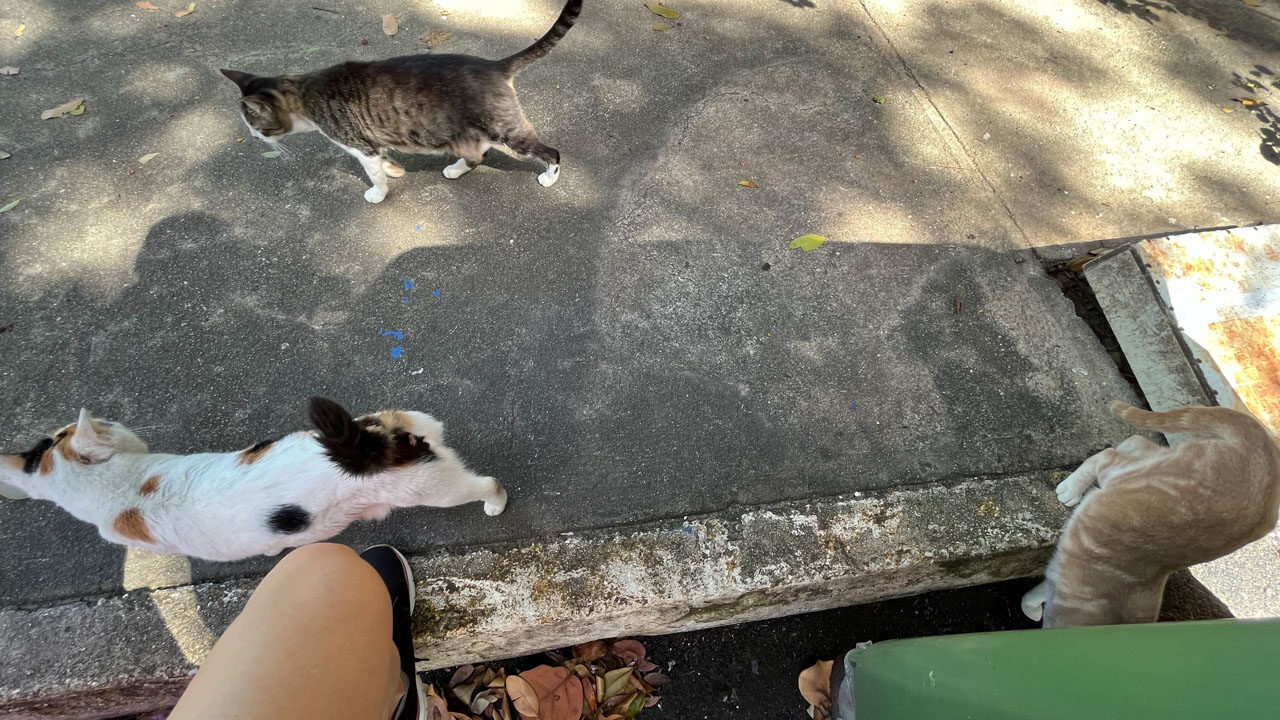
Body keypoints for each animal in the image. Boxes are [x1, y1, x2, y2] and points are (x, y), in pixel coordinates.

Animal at [0, 397, 509, 561]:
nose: (111, 417)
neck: (120, 490)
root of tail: (367, 444)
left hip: (437, 488)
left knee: (488, 484)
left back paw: (495, 503)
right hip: (411, 422)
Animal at [218, 0, 581, 203]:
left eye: (258, 127)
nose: (253, 138)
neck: (307, 93)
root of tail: (494, 64)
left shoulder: (358, 144)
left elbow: (373, 174)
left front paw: (378, 192)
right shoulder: (371, 140)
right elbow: (383, 158)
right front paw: (394, 169)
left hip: (505, 129)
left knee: (550, 152)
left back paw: (549, 176)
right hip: (467, 133)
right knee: (477, 155)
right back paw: (455, 169)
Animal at [1018, 399, 1280, 625]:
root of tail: (1265, 449)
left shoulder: (1060, 581)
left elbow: (1038, 593)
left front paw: (1031, 607)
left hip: (1148, 465)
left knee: (1133, 443)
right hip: (1136, 473)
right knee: (1109, 454)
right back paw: (1071, 488)